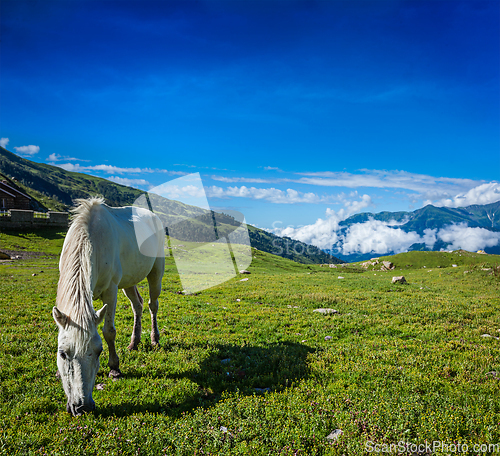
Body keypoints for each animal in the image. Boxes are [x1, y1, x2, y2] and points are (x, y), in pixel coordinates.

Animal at [53, 198, 165, 416]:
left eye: (99, 351)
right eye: (62, 353)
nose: (82, 407)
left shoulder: (111, 291)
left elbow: (109, 331)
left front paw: (114, 368)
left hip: (156, 272)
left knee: (152, 305)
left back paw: (154, 338)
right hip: (129, 281)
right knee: (137, 306)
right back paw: (134, 342)